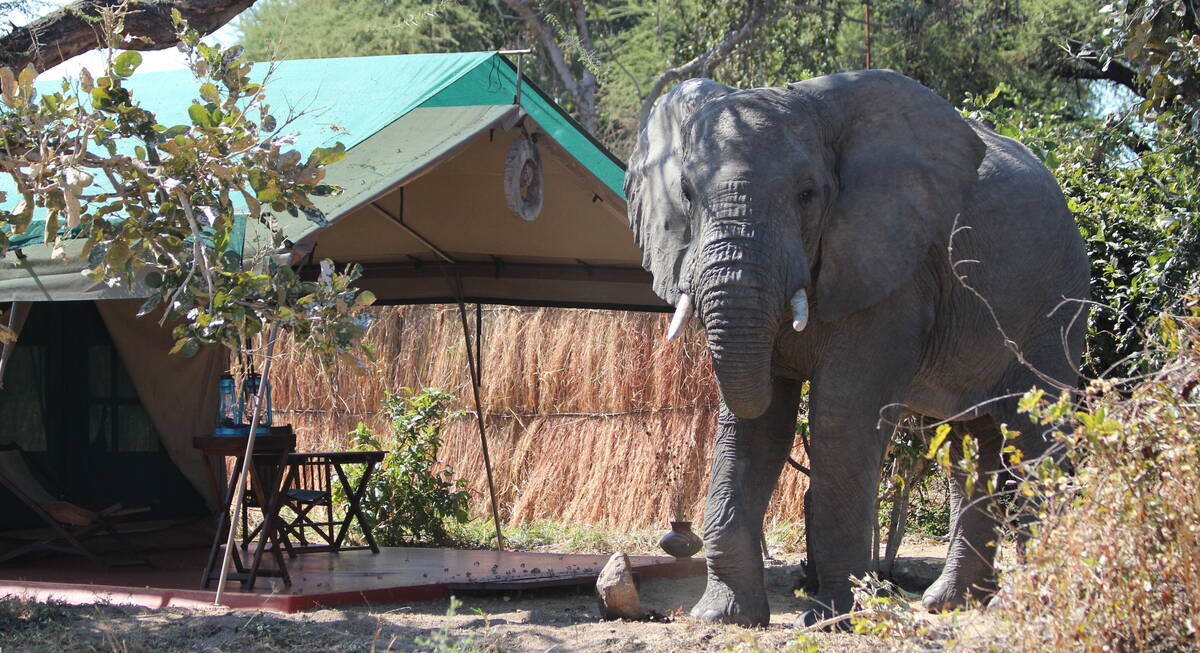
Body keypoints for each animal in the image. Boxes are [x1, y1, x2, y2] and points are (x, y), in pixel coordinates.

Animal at [624, 71, 1094, 628]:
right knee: (971, 446)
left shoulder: (893, 271)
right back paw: (948, 605)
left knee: (1035, 432)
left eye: (807, 194)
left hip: (1056, 302)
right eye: (688, 194)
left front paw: (833, 619)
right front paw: (723, 617)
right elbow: (756, 426)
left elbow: (840, 418)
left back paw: (1032, 604)